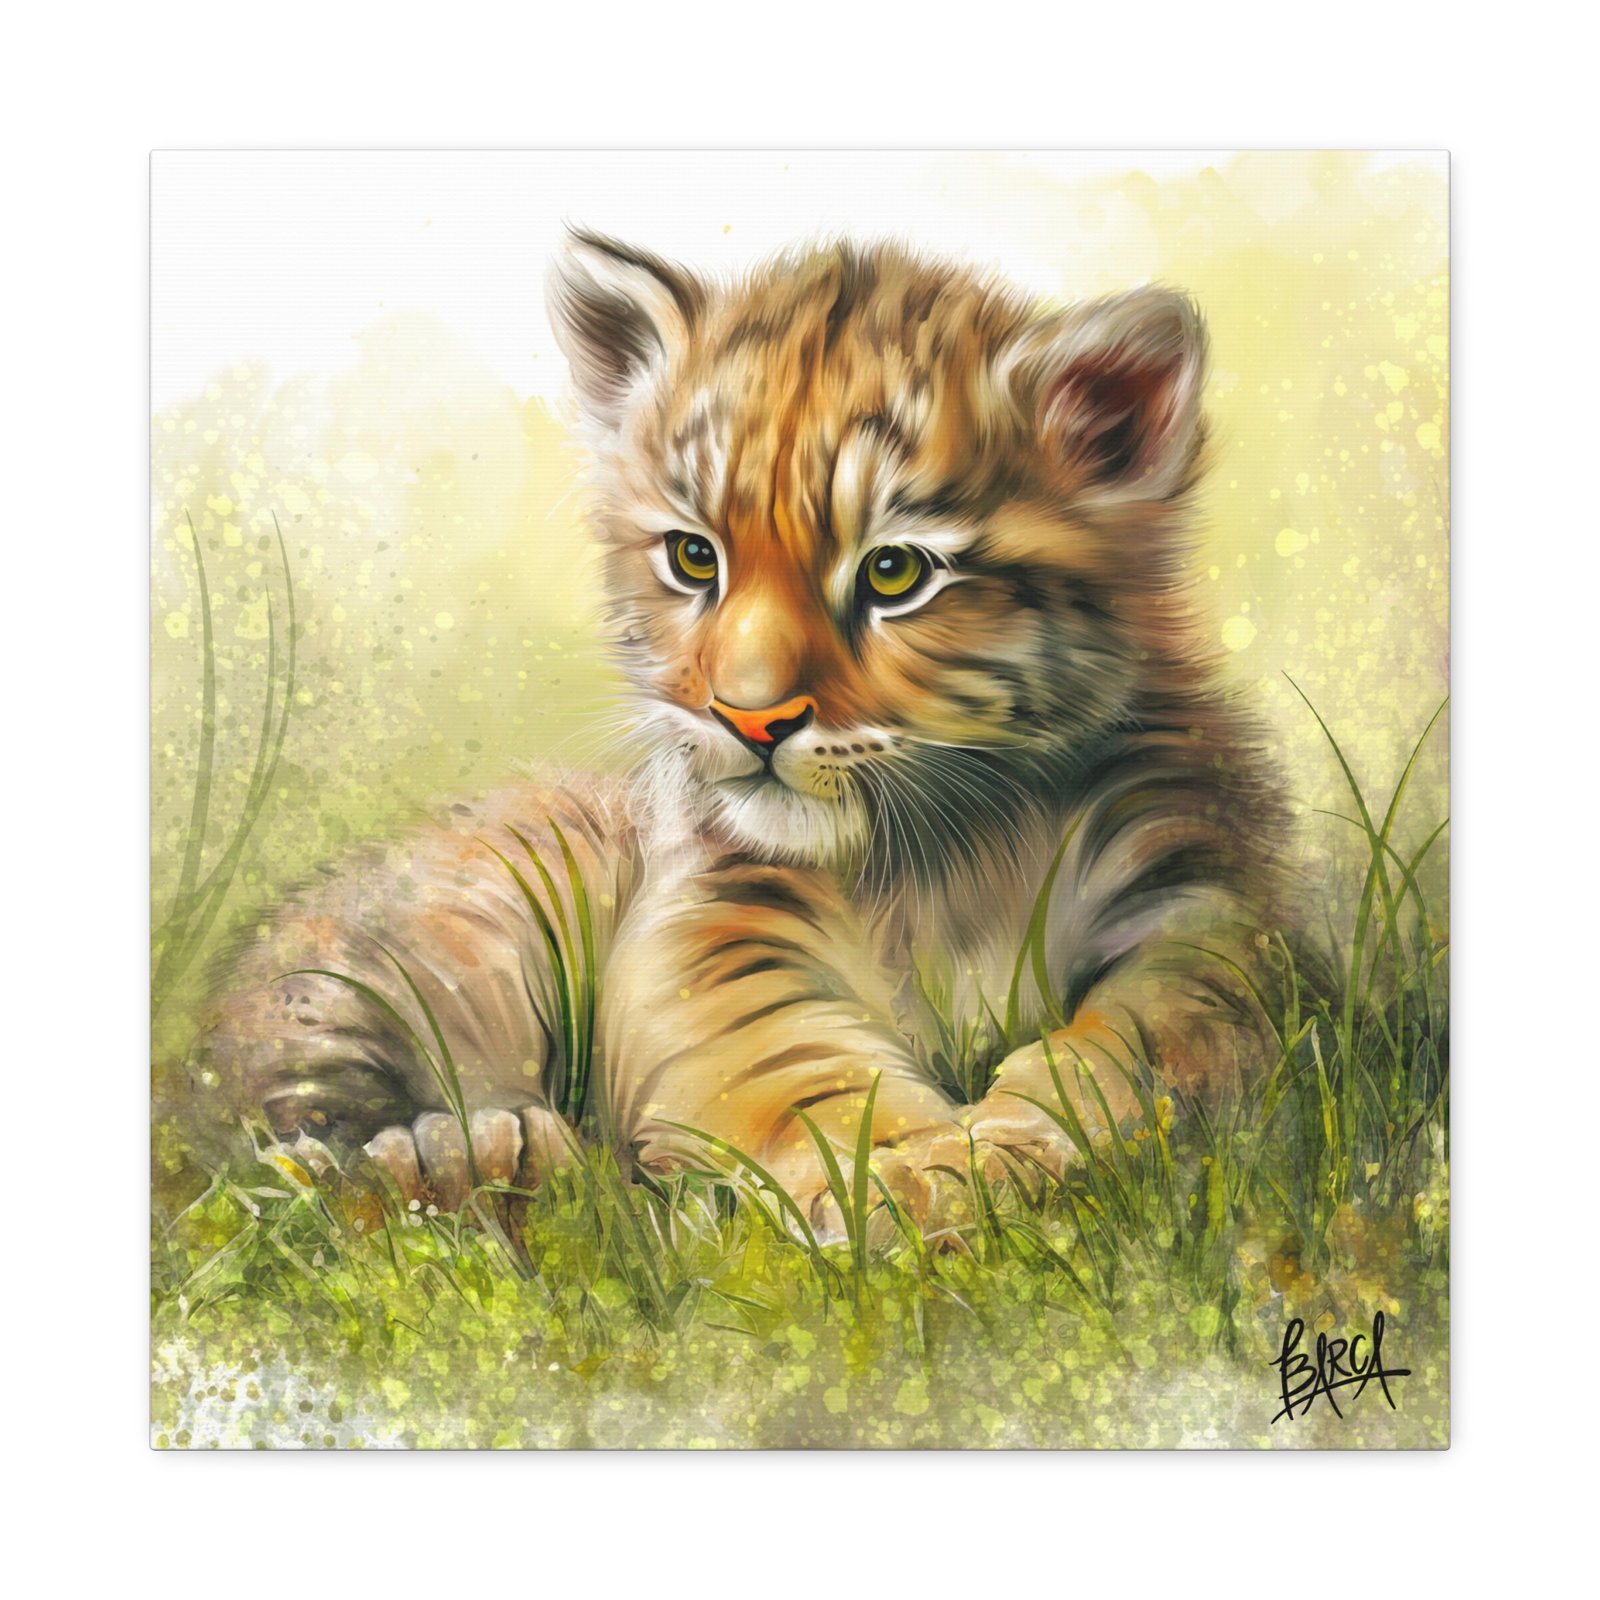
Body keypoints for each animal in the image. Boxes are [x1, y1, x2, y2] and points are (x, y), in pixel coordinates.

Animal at [194, 229, 1294, 1232]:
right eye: (693, 557)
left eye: (894, 572)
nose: (748, 717)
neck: (946, 851)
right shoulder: (714, 926)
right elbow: (797, 1067)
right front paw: (908, 1178)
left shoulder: (1193, 908)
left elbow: (1142, 1040)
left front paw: (1005, 1149)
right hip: (399, 957)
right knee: (278, 1144)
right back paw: (473, 1158)